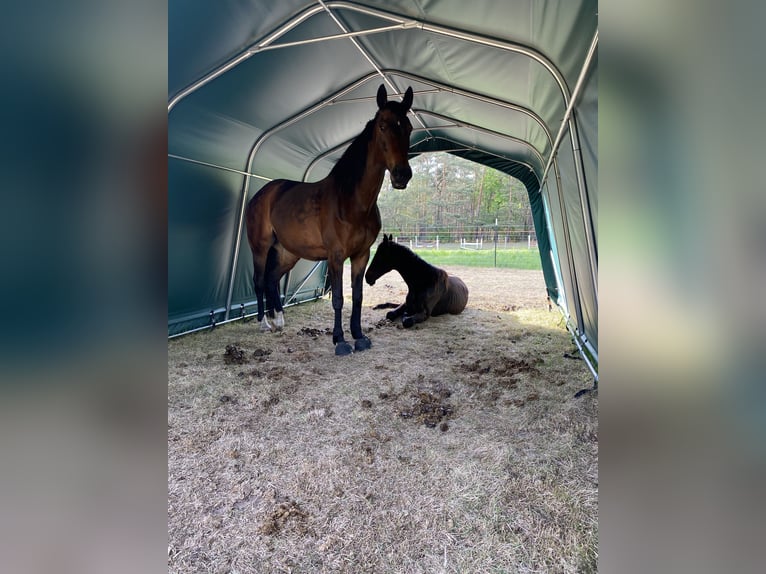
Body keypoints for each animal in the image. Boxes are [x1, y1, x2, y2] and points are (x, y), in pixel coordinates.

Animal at [246, 85, 414, 356]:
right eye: (382, 126)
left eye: (408, 127)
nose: (402, 175)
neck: (352, 201)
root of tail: (263, 194)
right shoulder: (336, 256)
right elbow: (338, 298)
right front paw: (341, 341)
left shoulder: (361, 255)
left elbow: (357, 297)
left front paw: (359, 336)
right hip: (259, 248)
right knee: (260, 281)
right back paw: (264, 324)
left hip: (287, 252)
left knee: (272, 279)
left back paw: (279, 321)